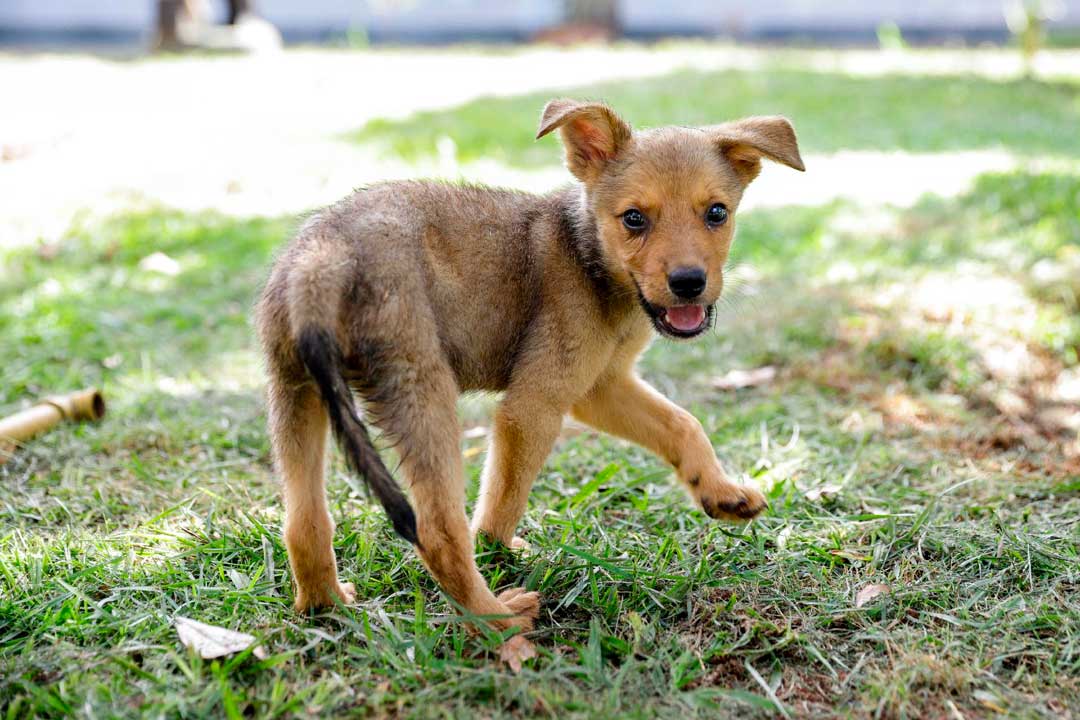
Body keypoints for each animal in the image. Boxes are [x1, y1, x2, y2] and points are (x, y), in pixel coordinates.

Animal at [254, 99, 803, 630]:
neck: (590, 258)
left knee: (302, 522)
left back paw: (327, 606)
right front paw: (496, 552)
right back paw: (499, 622)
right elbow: (504, 497)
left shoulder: (599, 387)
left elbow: (682, 424)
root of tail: (324, 256)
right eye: (633, 219)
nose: (689, 283)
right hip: (421, 392)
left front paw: (720, 492)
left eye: (717, 213)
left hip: (296, 392)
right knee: (439, 531)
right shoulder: (534, 404)